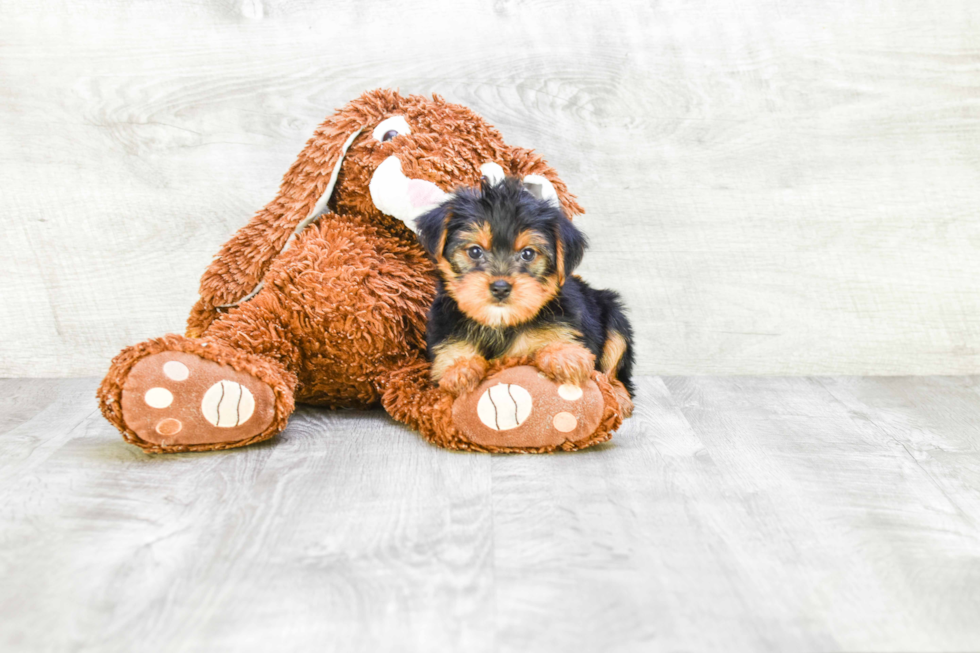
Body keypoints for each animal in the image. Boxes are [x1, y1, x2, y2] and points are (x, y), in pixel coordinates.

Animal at [416, 177, 636, 402]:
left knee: (616, 371)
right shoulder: (444, 330)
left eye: (528, 254)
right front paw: (459, 368)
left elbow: (554, 336)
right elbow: (450, 354)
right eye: (475, 251)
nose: (500, 288)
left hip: (613, 314)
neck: (500, 324)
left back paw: (619, 397)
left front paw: (564, 354)